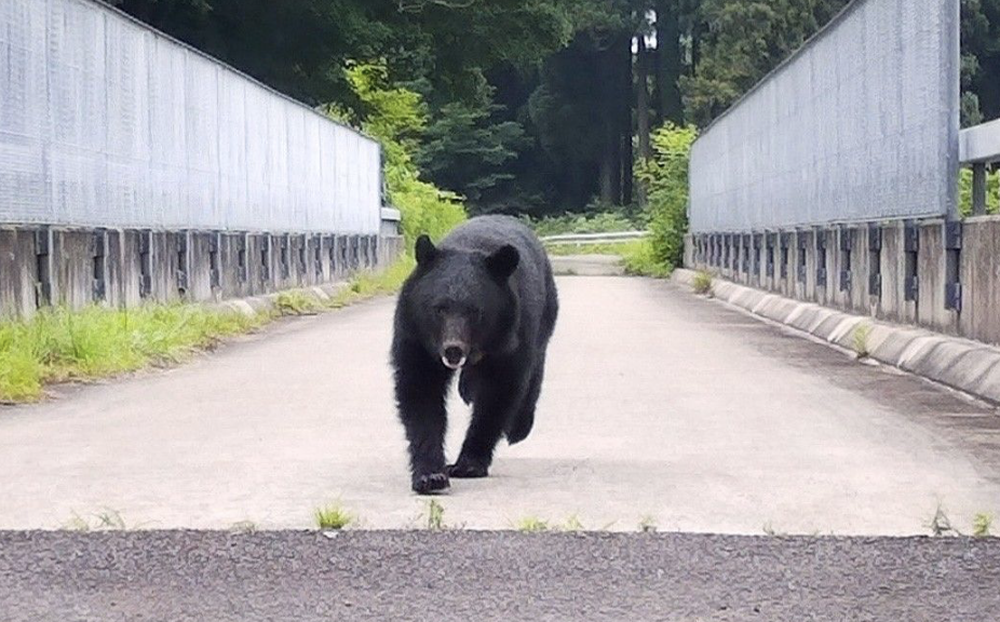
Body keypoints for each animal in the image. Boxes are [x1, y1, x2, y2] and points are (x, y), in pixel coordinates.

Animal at [391, 215, 559, 494]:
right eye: (439, 308)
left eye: (475, 311)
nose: (453, 349)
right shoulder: (415, 334)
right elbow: (420, 392)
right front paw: (430, 475)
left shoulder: (511, 336)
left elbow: (498, 395)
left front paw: (468, 464)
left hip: (545, 314)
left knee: (535, 366)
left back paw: (518, 428)